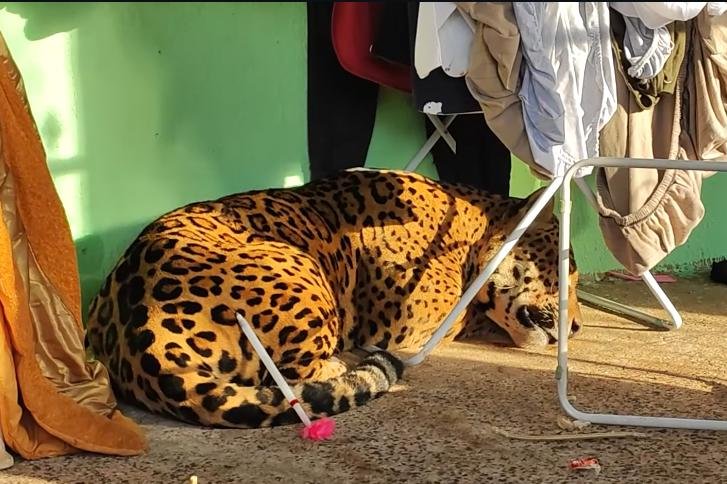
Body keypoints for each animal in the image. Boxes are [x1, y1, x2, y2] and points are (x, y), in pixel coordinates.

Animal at [86, 168, 583, 428]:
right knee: (293, 379)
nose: (578, 326)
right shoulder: (411, 323)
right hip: (303, 270)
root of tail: (140, 336)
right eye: (568, 277)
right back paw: (346, 364)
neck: (473, 229)